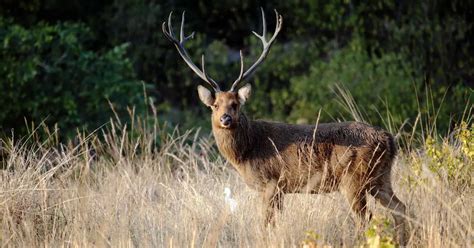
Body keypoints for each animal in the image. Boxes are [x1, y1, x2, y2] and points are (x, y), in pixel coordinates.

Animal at [163, 8, 408, 246]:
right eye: (215, 105)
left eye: (235, 104)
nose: (225, 119)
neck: (247, 151)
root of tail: (390, 140)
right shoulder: (280, 190)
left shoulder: (272, 183)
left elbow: (265, 225)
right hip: (380, 177)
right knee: (400, 208)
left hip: (354, 179)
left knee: (367, 219)